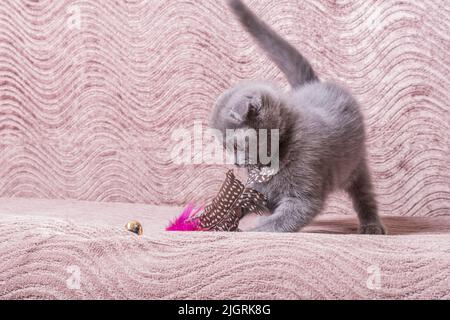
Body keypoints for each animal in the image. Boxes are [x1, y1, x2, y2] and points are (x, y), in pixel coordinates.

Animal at [209, 0, 384, 235]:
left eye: (235, 146)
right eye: (225, 148)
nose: (235, 163)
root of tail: (313, 84)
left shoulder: (303, 195)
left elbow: (280, 220)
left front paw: (253, 230)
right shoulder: (260, 189)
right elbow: (246, 201)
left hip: (355, 164)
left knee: (364, 194)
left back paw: (371, 225)